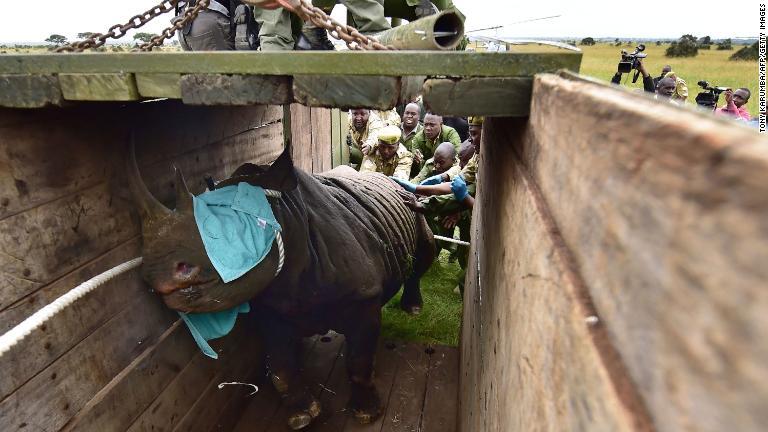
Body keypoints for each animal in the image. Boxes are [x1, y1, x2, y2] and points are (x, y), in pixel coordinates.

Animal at [129, 145, 436, 428]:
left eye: (239, 227)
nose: (156, 272)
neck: (290, 220)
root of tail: (389, 180)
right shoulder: (271, 308)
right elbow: (280, 365)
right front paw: (302, 415)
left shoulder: (363, 297)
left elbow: (359, 361)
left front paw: (366, 414)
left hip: (417, 208)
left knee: (426, 247)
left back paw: (414, 308)